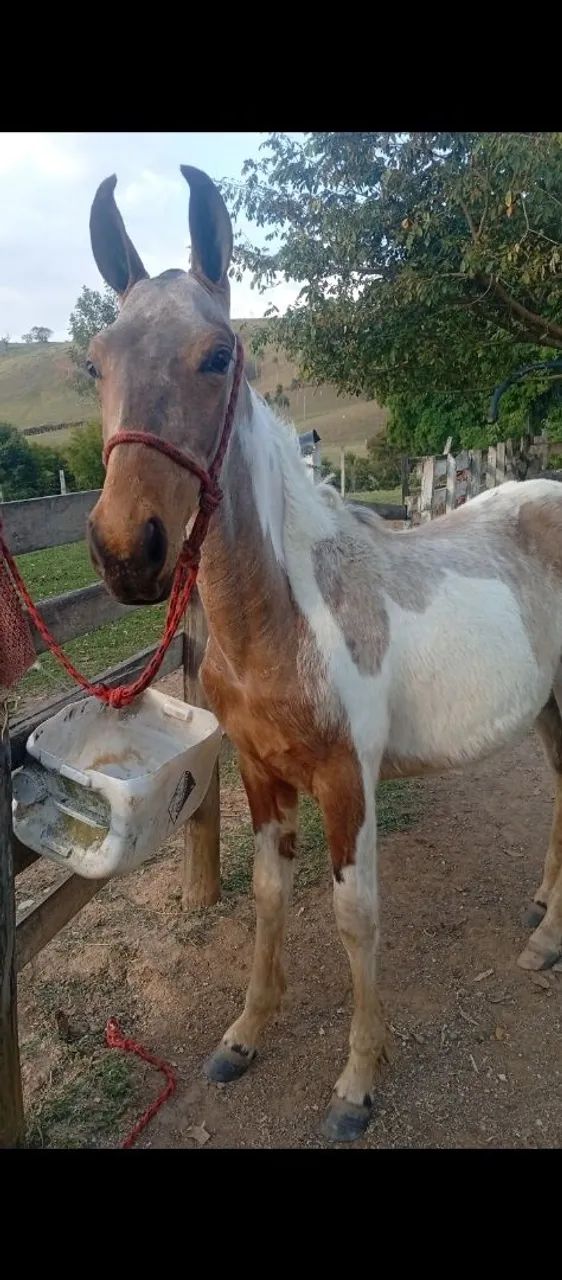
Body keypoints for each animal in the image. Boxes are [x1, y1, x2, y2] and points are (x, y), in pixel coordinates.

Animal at [85, 165, 562, 1142]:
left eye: (218, 354)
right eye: (96, 362)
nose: (126, 551)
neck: (283, 615)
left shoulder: (349, 779)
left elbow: (355, 916)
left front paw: (357, 1082)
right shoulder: (262, 773)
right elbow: (270, 899)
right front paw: (242, 1036)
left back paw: (546, 938)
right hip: (546, 707)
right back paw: (540, 919)